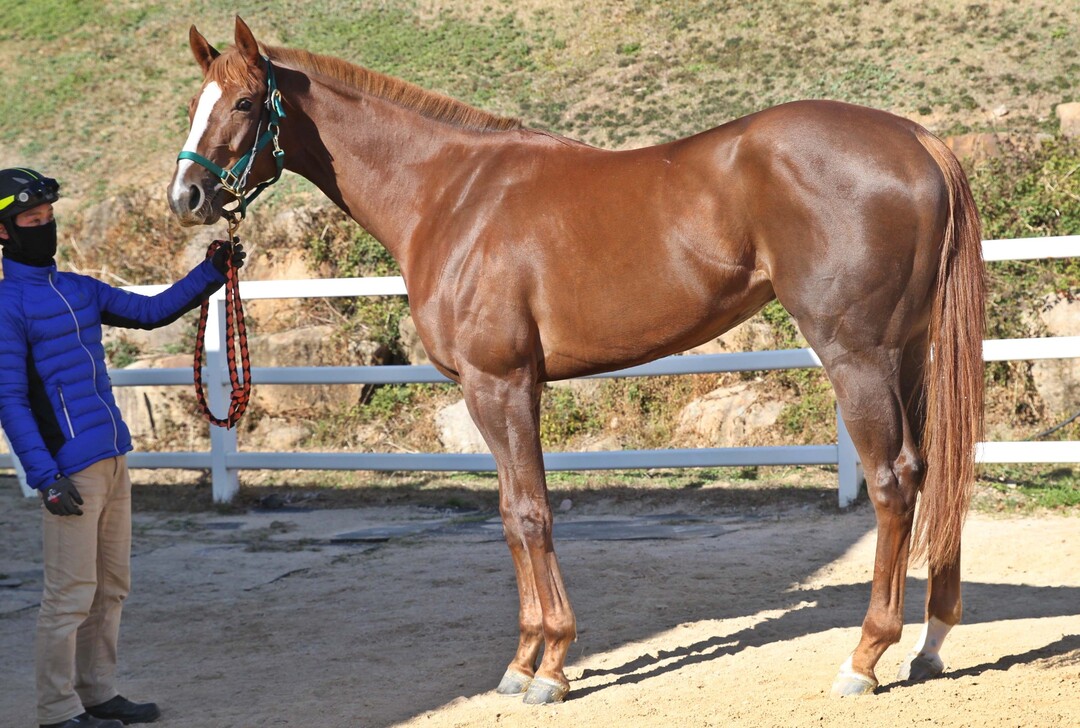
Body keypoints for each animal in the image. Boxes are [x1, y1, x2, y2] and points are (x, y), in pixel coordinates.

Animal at [168, 17, 986, 704]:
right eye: (196, 101)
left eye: (246, 101)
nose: (187, 196)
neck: (449, 197)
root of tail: (918, 140)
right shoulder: (495, 391)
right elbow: (508, 514)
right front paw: (523, 660)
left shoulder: (501, 384)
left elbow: (531, 513)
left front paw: (551, 667)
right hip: (909, 354)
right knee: (934, 471)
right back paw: (932, 640)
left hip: (857, 356)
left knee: (893, 482)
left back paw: (865, 658)